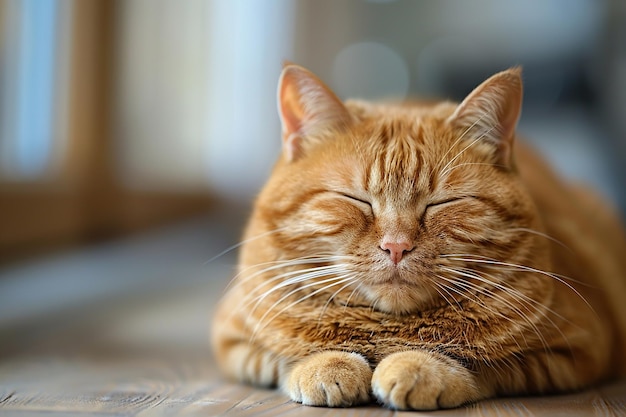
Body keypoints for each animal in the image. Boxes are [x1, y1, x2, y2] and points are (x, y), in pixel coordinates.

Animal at [211, 63, 624, 408]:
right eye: (357, 200)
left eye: (442, 203)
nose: (396, 247)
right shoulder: (234, 340)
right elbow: (282, 356)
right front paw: (328, 365)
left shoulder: (579, 350)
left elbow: (486, 366)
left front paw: (422, 368)